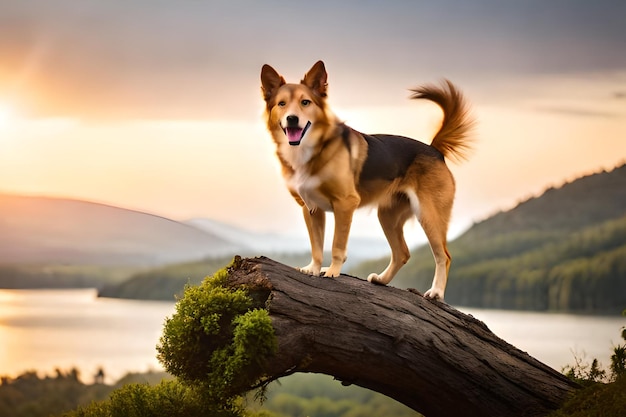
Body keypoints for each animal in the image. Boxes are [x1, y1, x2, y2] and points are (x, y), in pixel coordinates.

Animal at [260, 60, 472, 300]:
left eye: (305, 102)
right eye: (282, 104)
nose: (292, 119)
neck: (311, 150)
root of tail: (434, 149)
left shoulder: (345, 203)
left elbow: (337, 244)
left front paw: (332, 271)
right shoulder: (311, 208)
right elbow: (316, 245)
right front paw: (313, 268)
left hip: (429, 214)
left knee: (443, 256)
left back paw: (436, 292)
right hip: (388, 216)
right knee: (402, 253)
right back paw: (382, 280)